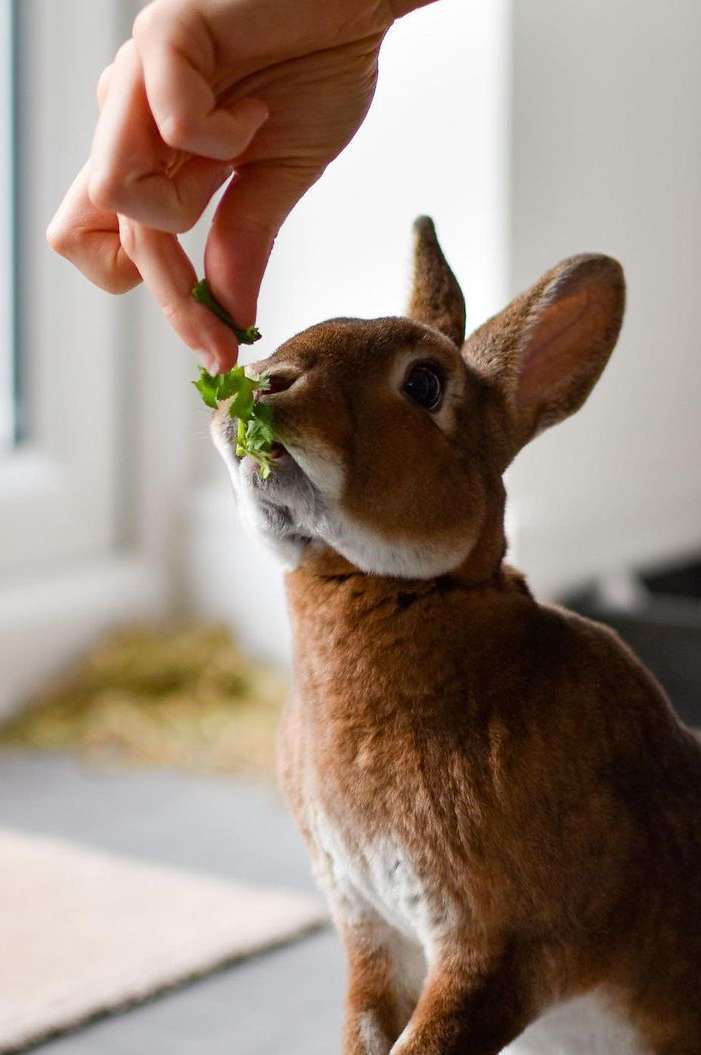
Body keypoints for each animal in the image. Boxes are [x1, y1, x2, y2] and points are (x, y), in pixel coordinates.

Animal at [211, 216, 700, 1055]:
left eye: (423, 385)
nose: (266, 383)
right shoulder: (372, 927)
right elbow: (366, 1024)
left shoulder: (500, 944)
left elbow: (430, 1037)